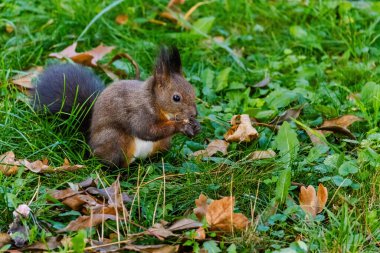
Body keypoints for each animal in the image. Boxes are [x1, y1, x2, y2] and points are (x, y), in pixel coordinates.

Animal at [32, 46, 202, 167]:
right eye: (176, 98)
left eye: (193, 90)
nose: (194, 114)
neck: (154, 102)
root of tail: (90, 141)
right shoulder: (138, 113)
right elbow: (146, 130)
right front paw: (180, 126)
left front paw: (196, 126)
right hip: (116, 141)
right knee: (112, 164)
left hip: (163, 144)